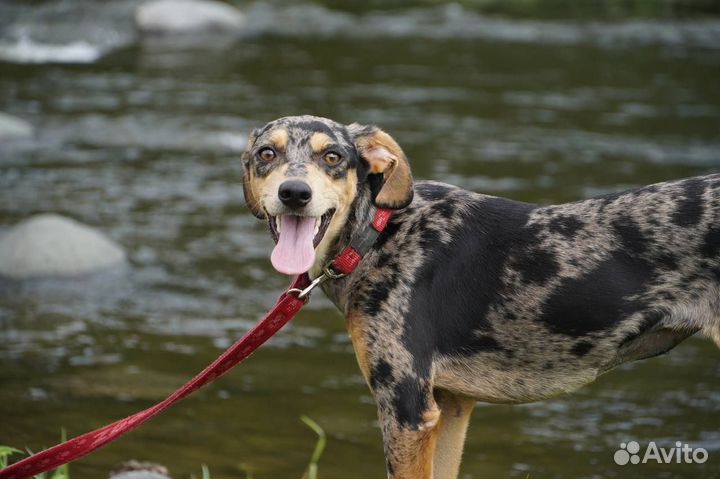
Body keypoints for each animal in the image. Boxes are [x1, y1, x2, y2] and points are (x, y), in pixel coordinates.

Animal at [242, 116, 720, 479]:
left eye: (333, 157)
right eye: (266, 154)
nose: (294, 193)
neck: (377, 234)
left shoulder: (407, 408)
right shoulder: (450, 407)